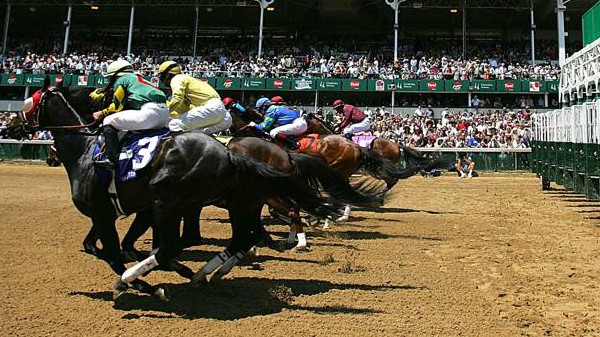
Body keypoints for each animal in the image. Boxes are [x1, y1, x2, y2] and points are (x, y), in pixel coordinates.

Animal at [23, 78, 344, 300]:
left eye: (29, 103)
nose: (18, 126)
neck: (86, 149)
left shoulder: (123, 210)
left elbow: (120, 249)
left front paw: (137, 277)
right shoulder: (123, 210)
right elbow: (105, 244)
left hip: (214, 199)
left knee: (280, 216)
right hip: (240, 202)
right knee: (246, 233)